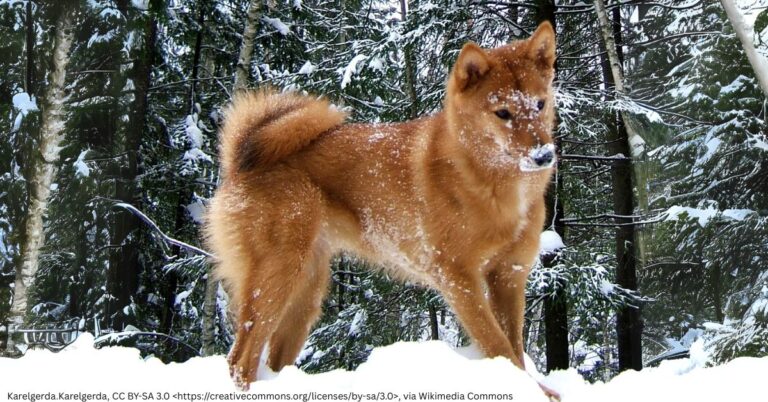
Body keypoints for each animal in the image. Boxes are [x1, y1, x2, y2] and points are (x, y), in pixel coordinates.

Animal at [205, 21, 559, 398]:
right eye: (502, 112)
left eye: (540, 104)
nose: (543, 156)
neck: (492, 184)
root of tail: (240, 161)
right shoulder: (460, 279)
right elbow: (499, 346)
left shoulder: (509, 275)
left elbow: (515, 347)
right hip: (276, 277)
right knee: (240, 358)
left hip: (306, 292)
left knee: (271, 358)